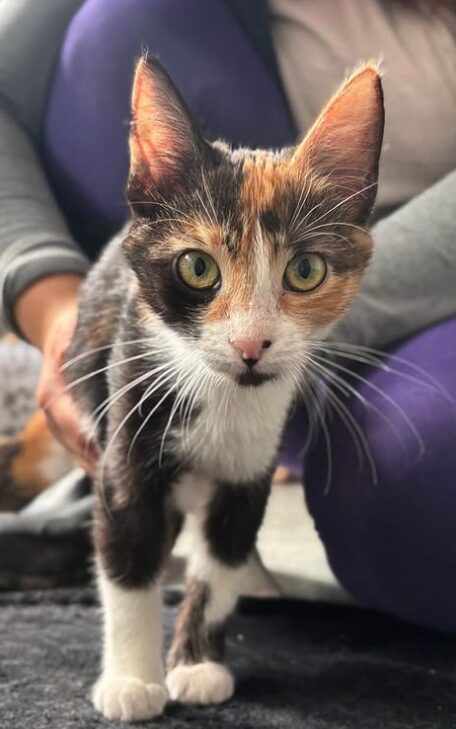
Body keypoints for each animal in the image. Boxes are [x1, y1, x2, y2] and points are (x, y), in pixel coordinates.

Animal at [65, 59, 384, 720]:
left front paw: (196, 665)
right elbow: (127, 560)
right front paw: (133, 680)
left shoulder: (248, 472)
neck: (222, 396)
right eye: (197, 267)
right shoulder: (126, 441)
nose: (250, 344)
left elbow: (223, 559)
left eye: (305, 271)